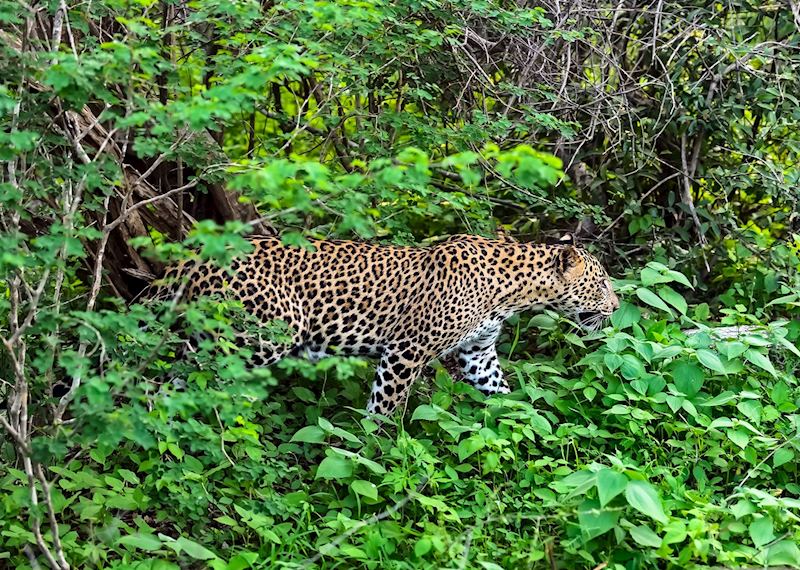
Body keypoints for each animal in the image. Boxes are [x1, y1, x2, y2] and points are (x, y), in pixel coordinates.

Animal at [156, 233, 619, 416]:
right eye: (601, 283)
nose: (616, 307)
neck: (514, 292)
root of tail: (194, 253)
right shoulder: (407, 350)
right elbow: (386, 406)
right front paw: (374, 450)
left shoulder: (479, 354)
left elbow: (502, 394)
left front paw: (525, 427)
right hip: (256, 337)